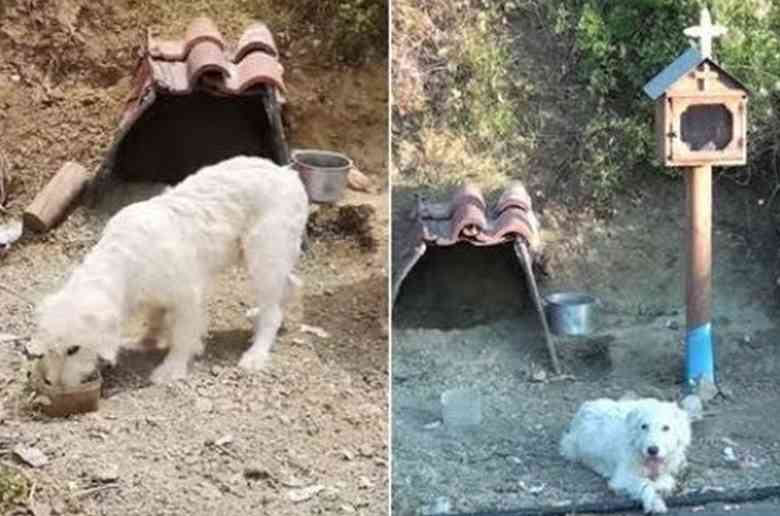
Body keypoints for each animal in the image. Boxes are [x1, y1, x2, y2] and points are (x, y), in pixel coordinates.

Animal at [33, 155, 308, 384]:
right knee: (290, 285)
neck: (125, 260)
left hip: (263, 256)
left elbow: (182, 335)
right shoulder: (154, 296)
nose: (52, 383)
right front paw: (146, 341)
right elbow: (155, 317)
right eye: (49, 348)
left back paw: (256, 354)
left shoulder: (188, 296)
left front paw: (171, 369)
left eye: (73, 349)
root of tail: (288, 174)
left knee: (273, 314)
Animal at [560, 400, 688, 512]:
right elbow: (644, 483)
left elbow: (666, 481)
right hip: (570, 447)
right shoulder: (621, 478)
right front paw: (654, 503)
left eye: (666, 428)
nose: (652, 450)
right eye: (644, 426)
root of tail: (586, 405)